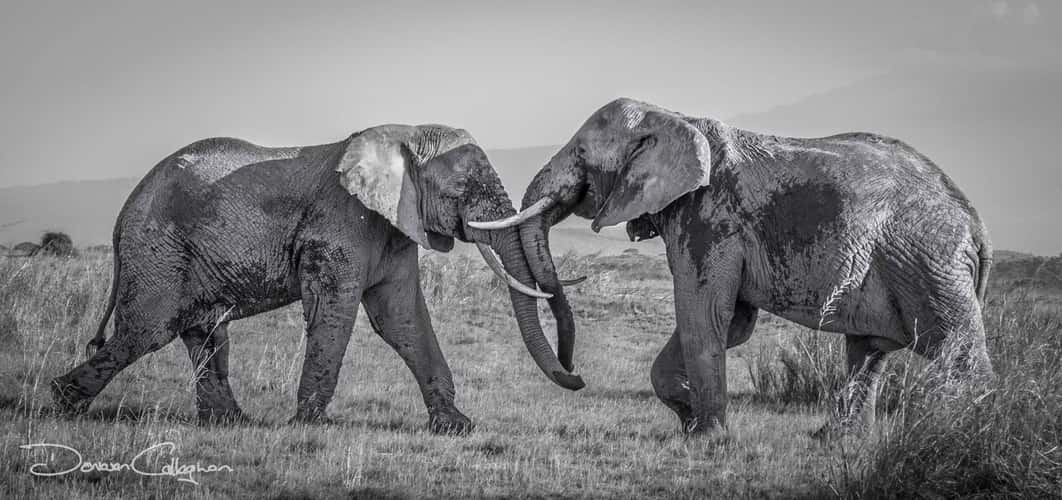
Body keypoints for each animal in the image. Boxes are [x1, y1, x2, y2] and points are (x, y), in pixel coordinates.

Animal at [51, 124, 585, 433]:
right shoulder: (340, 225)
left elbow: (402, 320)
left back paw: (230, 423)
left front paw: (457, 427)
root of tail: (124, 209)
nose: (576, 378)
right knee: (149, 330)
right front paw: (309, 426)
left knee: (205, 332)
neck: (403, 132)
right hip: (158, 248)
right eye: (464, 189)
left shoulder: (392, 228)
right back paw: (63, 403)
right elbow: (336, 311)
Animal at [472, 98, 994, 435]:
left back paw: (964, 437)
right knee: (868, 351)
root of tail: (976, 223)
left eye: (581, 155)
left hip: (929, 262)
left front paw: (707, 437)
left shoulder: (711, 217)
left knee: (957, 353)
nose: (576, 377)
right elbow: (732, 323)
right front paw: (688, 418)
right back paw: (837, 439)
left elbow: (704, 315)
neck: (675, 117)